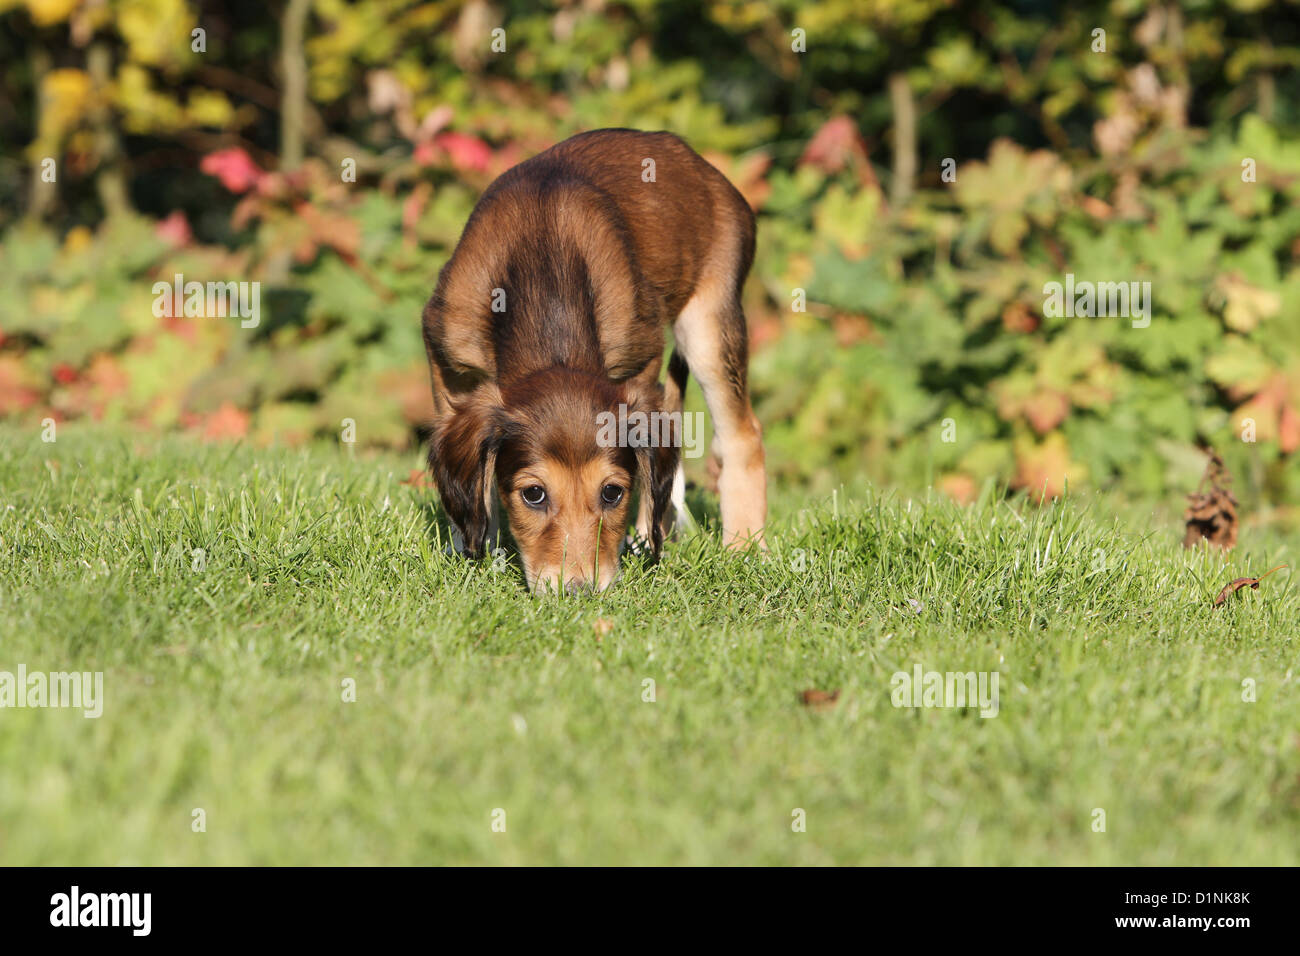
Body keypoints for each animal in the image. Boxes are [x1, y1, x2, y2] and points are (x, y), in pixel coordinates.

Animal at [421, 127, 764, 590]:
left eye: (612, 492)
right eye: (533, 494)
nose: (579, 591)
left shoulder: (641, 363)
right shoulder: (447, 361)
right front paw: (473, 547)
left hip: (710, 324)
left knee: (741, 436)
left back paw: (743, 548)